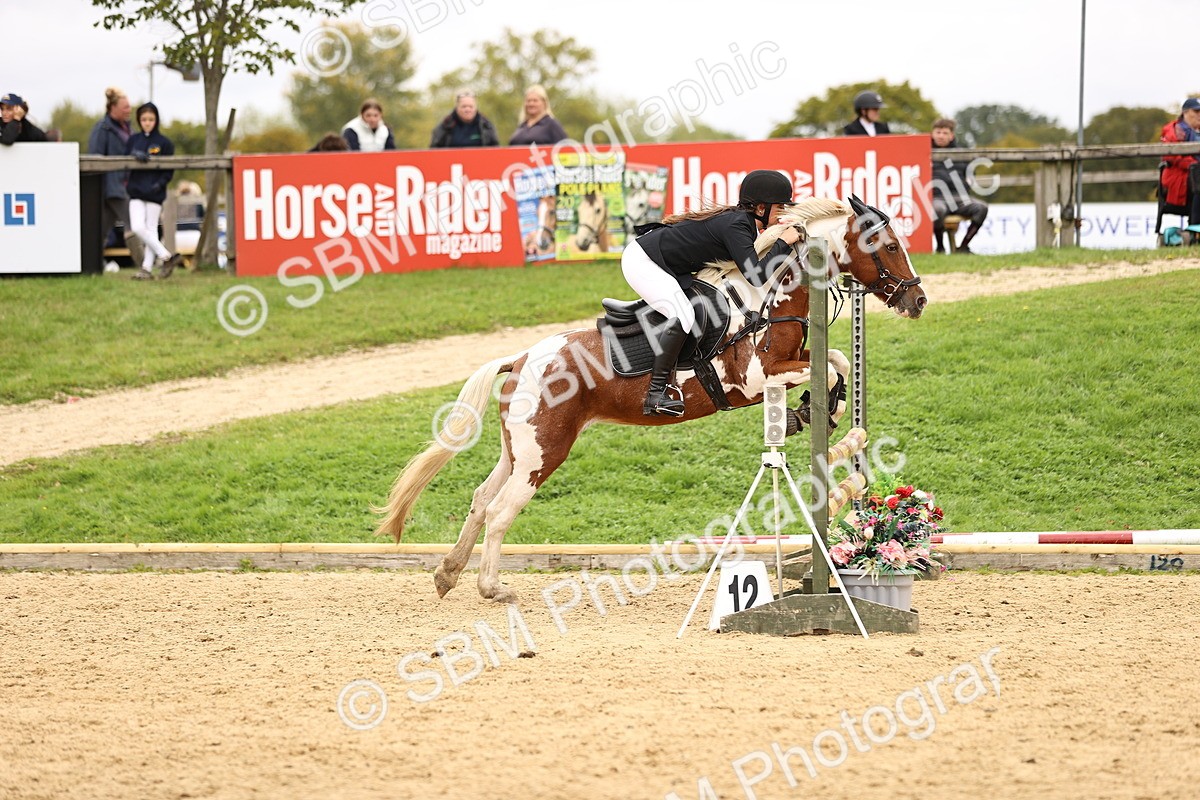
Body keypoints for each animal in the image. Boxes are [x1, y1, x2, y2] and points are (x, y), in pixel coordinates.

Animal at [375, 196, 927, 603]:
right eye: (888, 245)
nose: (917, 300)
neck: (767, 294)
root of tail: (522, 357)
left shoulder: (790, 360)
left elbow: (836, 358)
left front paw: (820, 410)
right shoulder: (754, 379)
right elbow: (831, 363)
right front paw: (815, 409)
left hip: (520, 450)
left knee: (480, 500)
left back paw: (448, 575)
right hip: (543, 454)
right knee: (501, 510)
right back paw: (492, 589)